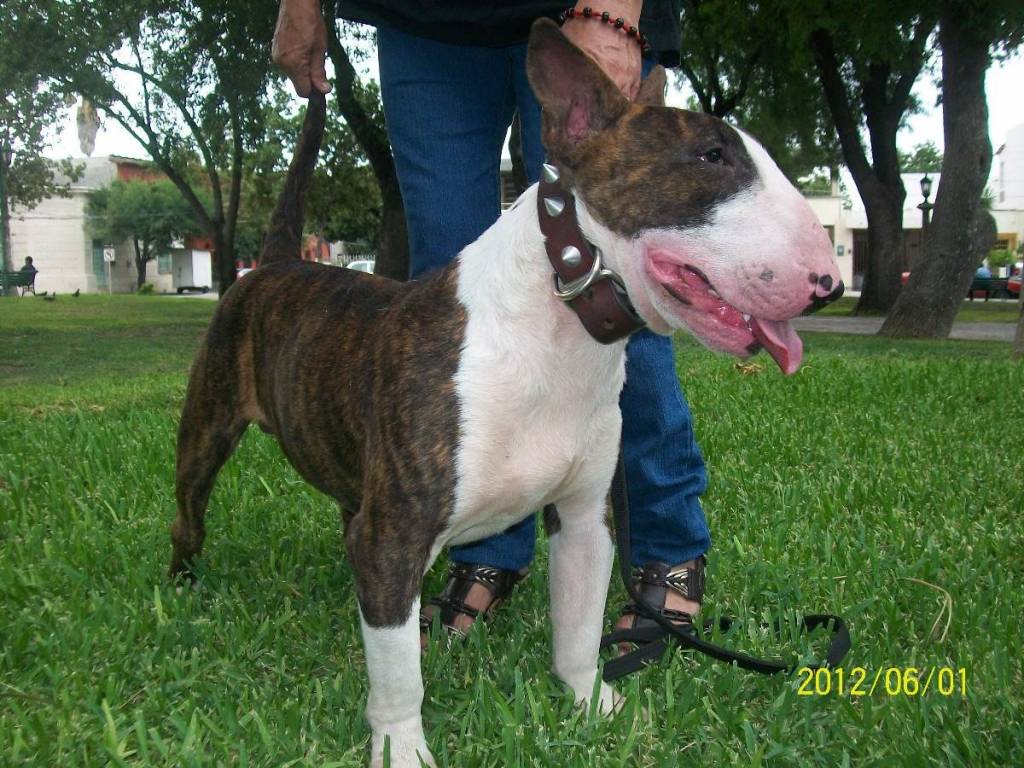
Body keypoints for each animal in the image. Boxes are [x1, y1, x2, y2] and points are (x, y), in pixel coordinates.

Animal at [171, 19, 843, 768]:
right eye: (710, 155)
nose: (829, 282)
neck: (560, 327)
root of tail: (272, 266)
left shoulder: (584, 518)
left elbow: (578, 627)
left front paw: (591, 706)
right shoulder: (393, 537)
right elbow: (399, 671)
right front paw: (402, 747)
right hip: (207, 429)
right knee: (189, 511)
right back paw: (183, 586)